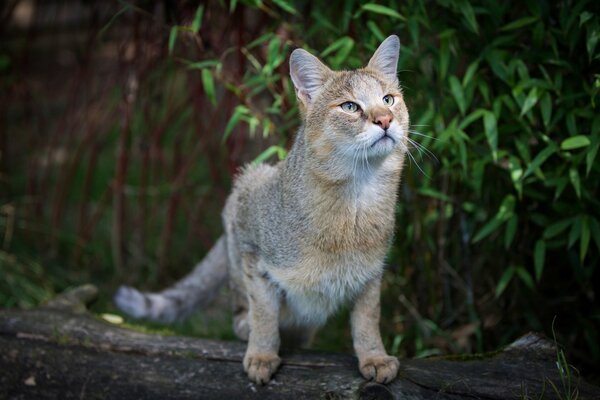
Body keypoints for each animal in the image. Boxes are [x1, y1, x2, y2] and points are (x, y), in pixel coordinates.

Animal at [114, 36, 410, 386]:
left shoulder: (370, 274)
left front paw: (374, 357)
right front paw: (262, 354)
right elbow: (264, 312)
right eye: (350, 106)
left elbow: (367, 319)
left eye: (388, 99)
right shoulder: (250, 241)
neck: (355, 202)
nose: (385, 120)